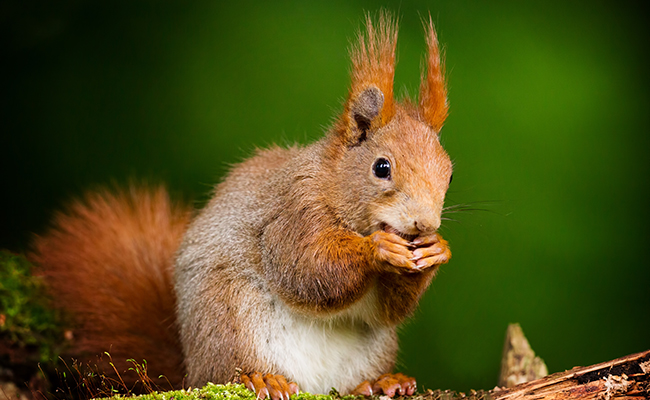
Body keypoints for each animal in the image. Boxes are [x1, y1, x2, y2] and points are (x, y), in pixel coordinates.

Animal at [31, 12, 450, 400]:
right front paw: (378, 248)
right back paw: (260, 378)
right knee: (229, 370)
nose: (424, 224)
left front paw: (437, 250)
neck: (333, 184)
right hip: (230, 319)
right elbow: (307, 268)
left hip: (373, 346)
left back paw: (378, 382)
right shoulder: (292, 212)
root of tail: (192, 367)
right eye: (381, 168)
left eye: (448, 173)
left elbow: (389, 309)